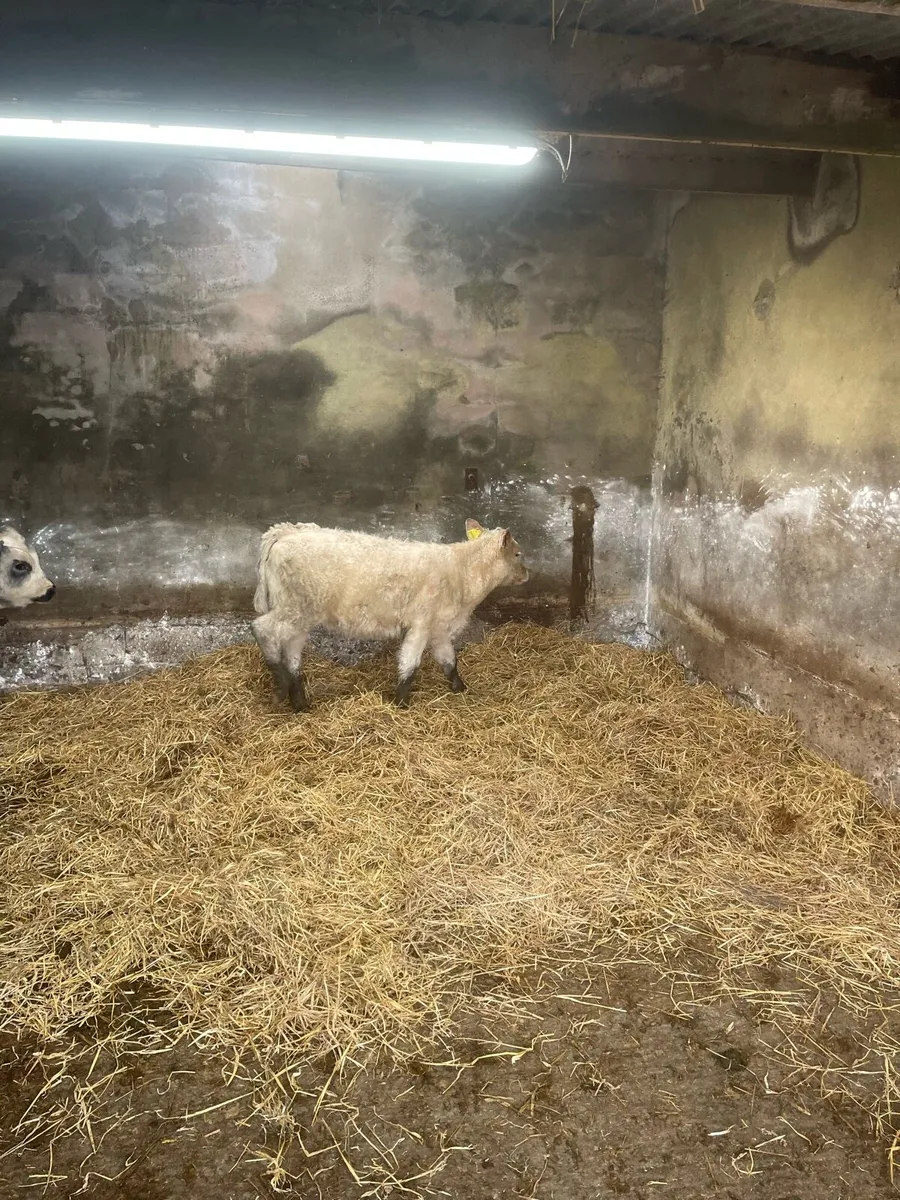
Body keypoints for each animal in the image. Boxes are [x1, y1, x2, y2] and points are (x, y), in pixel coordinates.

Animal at [252, 519, 528, 710]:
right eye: (517, 553)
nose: (527, 573)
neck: (461, 571)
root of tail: (285, 531)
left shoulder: (438, 628)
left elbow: (449, 661)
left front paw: (461, 688)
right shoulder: (421, 623)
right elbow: (410, 663)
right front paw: (401, 703)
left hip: (301, 613)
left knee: (292, 654)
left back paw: (300, 703)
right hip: (294, 607)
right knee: (261, 629)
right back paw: (280, 686)